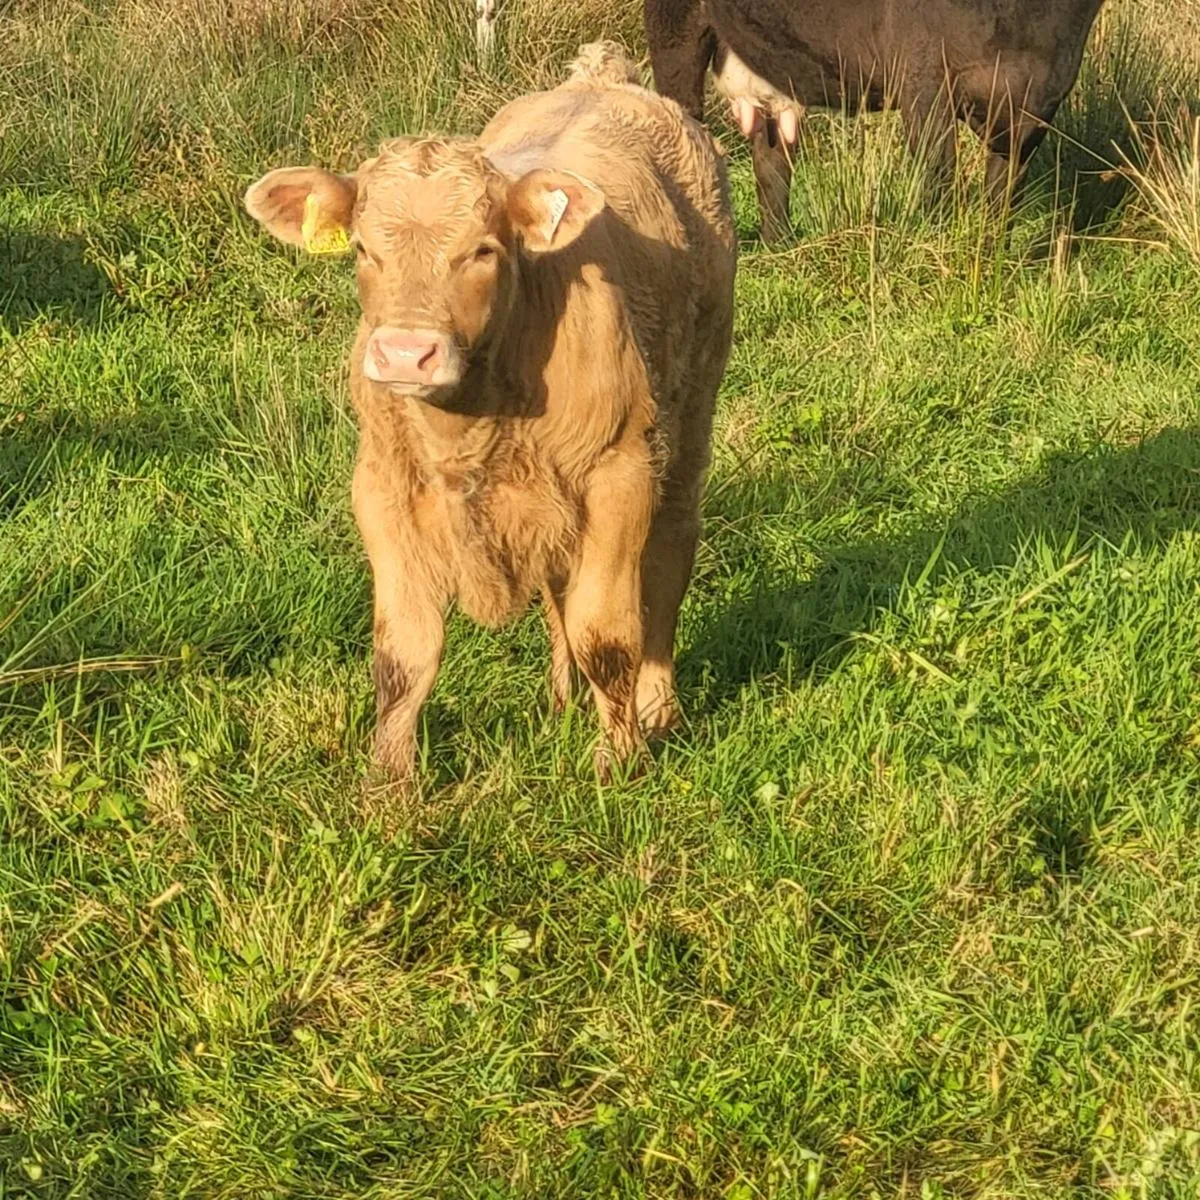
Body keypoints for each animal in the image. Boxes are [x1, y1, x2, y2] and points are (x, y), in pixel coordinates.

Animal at [243, 41, 736, 788]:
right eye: (362, 249)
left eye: (480, 248)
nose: (405, 352)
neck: (471, 423)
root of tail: (603, 77)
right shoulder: (383, 488)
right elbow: (404, 655)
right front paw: (388, 787)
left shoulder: (617, 475)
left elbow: (606, 631)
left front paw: (618, 762)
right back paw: (562, 699)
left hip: (689, 411)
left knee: (669, 552)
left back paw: (657, 709)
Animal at [644, 0, 1107, 241]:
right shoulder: (924, 80)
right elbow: (938, 172)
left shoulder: (1037, 106)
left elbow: (1002, 193)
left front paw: (989, 253)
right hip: (676, 34)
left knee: (771, 161)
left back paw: (781, 243)